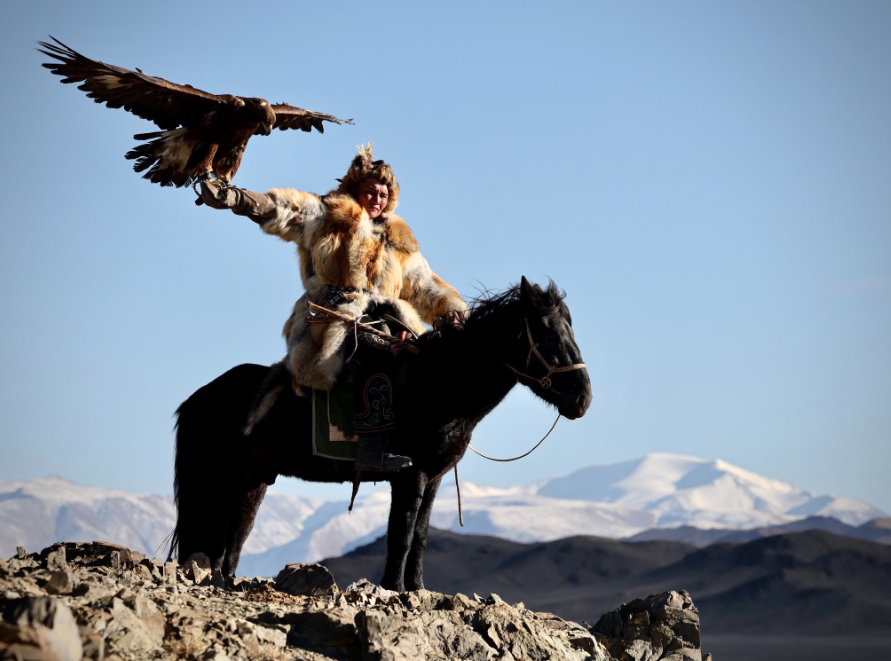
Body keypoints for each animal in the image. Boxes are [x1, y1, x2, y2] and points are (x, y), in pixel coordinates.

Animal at [172, 276, 592, 592]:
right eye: (548, 335)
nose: (582, 398)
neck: (441, 385)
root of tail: (195, 400)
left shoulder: (433, 478)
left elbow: (420, 535)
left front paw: (417, 588)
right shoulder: (410, 474)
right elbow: (401, 534)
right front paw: (394, 588)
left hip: (251, 482)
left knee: (233, 540)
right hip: (213, 482)